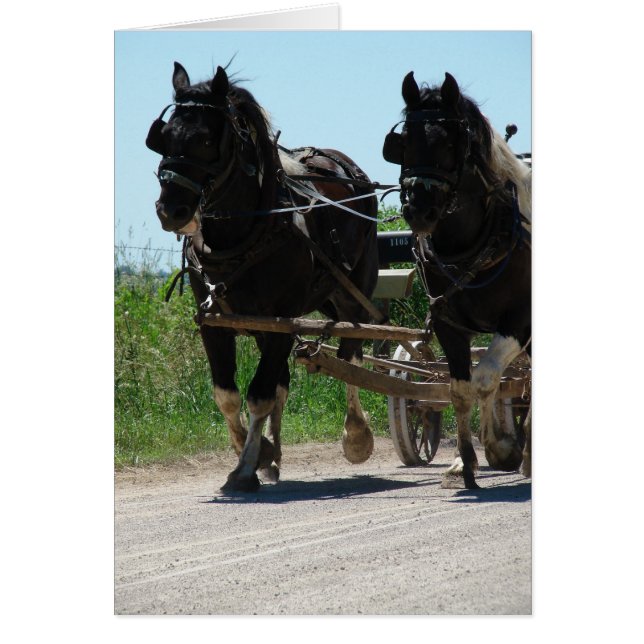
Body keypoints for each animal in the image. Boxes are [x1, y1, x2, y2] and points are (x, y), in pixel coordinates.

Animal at [145, 62, 380, 492]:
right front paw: (257, 453)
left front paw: (245, 468)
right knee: (284, 382)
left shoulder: (280, 322)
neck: (245, 234)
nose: (171, 210)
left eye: (205, 139)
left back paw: (356, 434)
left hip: (354, 290)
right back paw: (274, 454)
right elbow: (228, 395)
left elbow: (259, 395)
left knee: (352, 354)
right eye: (163, 137)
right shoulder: (215, 322)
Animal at [382, 71, 532, 489]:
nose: (419, 210)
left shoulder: (520, 322)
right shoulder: (448, 324)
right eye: (404, 142)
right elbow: (462, 389)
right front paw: (465, 464)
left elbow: (486, 379)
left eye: (450, 142)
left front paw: (501, 447)